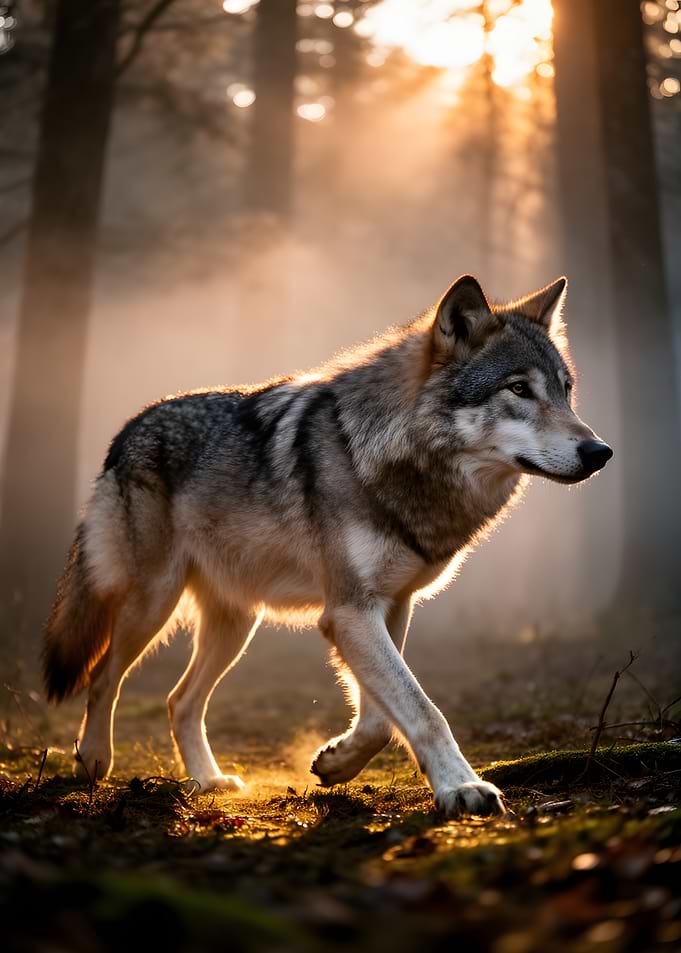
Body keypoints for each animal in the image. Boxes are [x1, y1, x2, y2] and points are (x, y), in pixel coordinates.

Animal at [43, 275, 612, 817]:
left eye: (565, 390)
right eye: (518, 388)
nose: (600, 451)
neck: (389, 456)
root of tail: (128, 429)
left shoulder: (391, 606)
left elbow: (381, 718)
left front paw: (338, 762)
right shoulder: (349, 611)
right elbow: (424, 710)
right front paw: (463, 788)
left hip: (237, 624)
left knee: (178, 700)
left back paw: (207, 781)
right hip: (154, 602)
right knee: (104, 676)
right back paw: (93, 761)